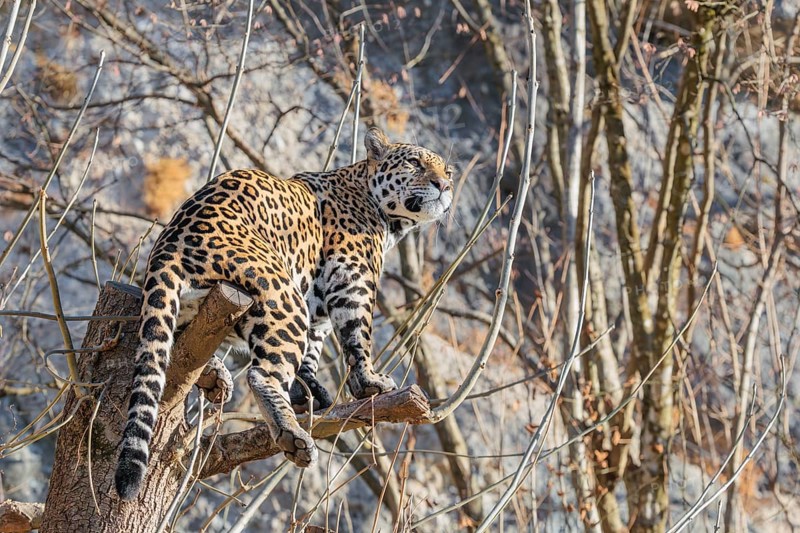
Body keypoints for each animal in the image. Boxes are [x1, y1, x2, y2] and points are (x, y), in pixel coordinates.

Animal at [114, 128, 454, 500]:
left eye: (449, 171)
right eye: (415, 163)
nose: (444, 185)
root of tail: (170, 244)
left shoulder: (317, 305)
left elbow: (314, 347)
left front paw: (308, 390)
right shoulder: (353, 279)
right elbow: (358, 333)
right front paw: (369, 381)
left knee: (182, 339)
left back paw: (216, 375)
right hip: (282, 294)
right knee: (261, 374)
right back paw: (292, 435)